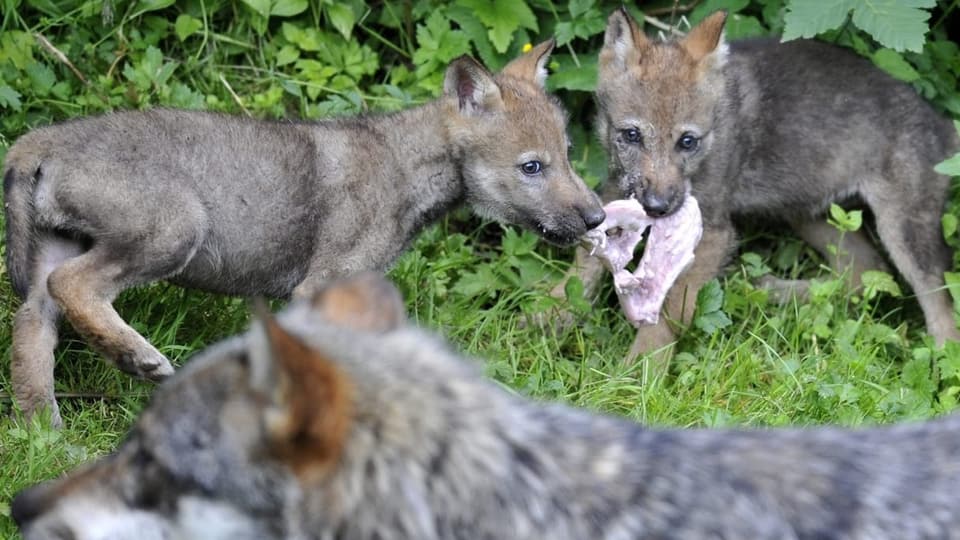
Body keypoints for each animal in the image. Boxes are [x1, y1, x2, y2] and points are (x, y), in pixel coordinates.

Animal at [3, 40, 604, 424]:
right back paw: (136, 358)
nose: (598, 218)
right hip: (174, 229)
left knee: (32, 321)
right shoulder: (322, 284)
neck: (406, 167)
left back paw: (44, 429)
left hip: (59, 250)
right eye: (533, 167)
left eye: (569, 154)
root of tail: (39, 142)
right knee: (73, 286)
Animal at [568, 7, 960, 362]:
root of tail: (944, 124)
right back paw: (770, 290)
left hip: (904, 233)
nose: (657, 207)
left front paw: (639, 376)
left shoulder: (713, 233)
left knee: (941, 312)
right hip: (808, 213)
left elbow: (667, 316)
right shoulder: (610, 198)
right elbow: (575, 280)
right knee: (862, 273)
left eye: (687, 141)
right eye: (631, 135)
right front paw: (552, 326)